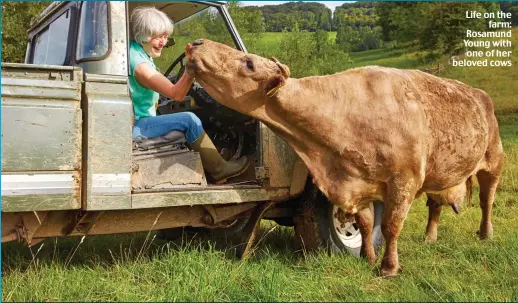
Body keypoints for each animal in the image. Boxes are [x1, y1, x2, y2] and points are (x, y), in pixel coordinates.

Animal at [185, 38, 506, 278]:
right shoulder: (356, 180)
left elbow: (390, 226)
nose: (197, 42)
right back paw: (430, 236)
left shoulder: (404, 180)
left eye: (249, 63)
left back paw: (485, 233)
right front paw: (367, 256)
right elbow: (364, 222)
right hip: (441, 173)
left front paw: (388, 267)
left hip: (493, 160)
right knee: (436, 203)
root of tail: (479, 93)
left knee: (487, 199)